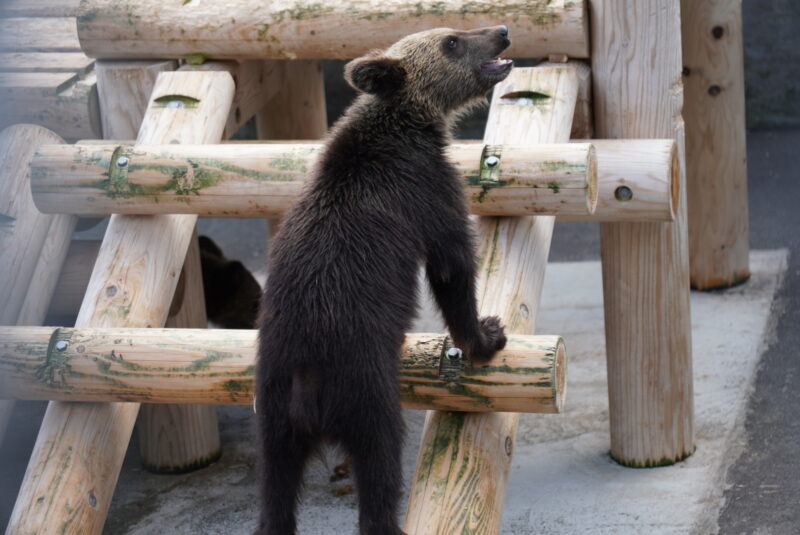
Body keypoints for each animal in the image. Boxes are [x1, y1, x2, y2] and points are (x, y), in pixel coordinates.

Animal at [256, 26, 512, 535]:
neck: (408, 125)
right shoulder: (427, 190)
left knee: (276, 488)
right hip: (362, 382)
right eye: (451, 41)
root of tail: (304, 380)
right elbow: (452, 265)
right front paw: (486, 334)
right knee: (380, 458)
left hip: (272, 404)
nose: (502, 32)